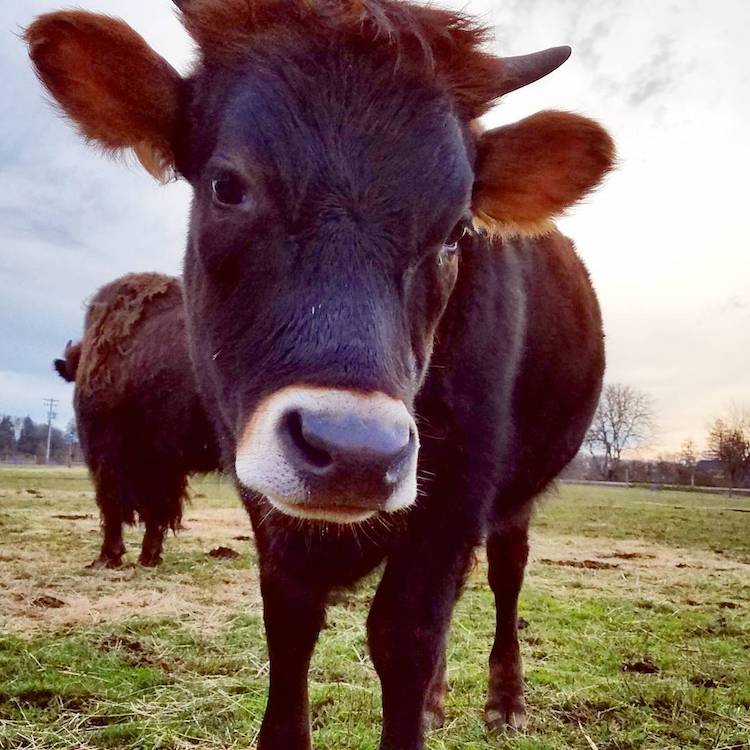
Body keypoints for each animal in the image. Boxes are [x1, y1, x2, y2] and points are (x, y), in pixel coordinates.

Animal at [54, 273, 221, 567]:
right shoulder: (165, 464)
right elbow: (158, 511)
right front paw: (149, 556)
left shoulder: (107, 457)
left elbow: (113, 505)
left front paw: (108, 556)